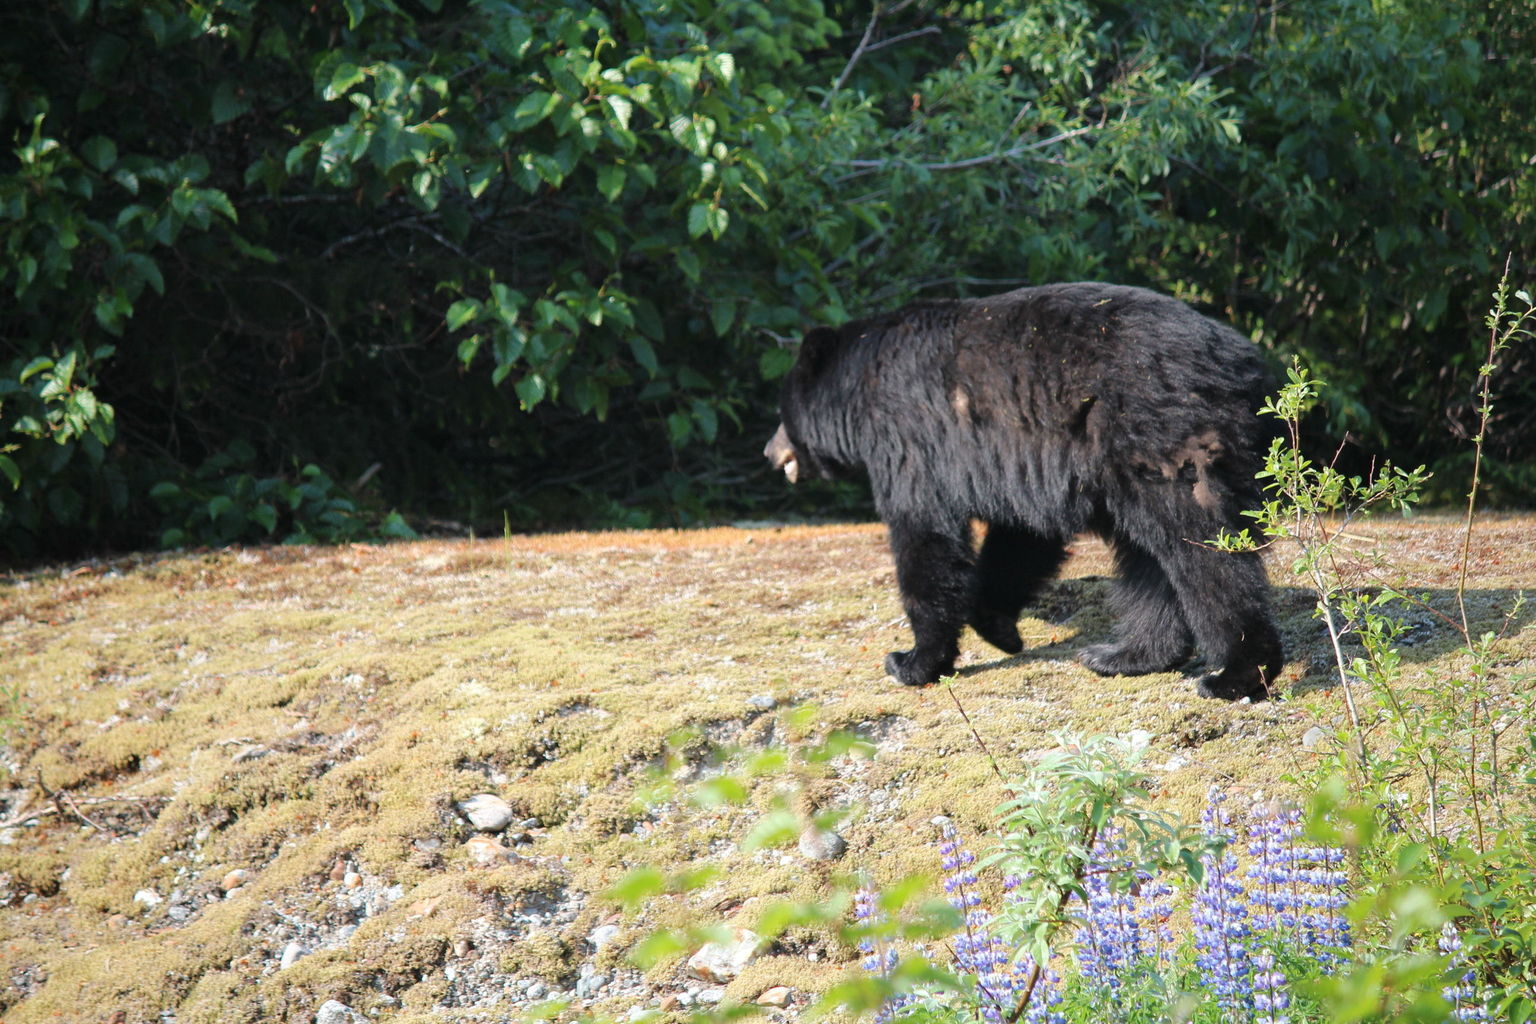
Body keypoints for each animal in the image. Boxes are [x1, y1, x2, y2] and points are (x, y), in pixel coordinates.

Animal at [764, 281, 1284, 701]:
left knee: (1202, 551)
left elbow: (925, 535)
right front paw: (998, 626)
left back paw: (1235, 674)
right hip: (1125, 463)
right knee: (1149, 558)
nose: (769, 451)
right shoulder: (1025, 461)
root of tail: (1246, 367)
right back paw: (1123, 655)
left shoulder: (909, 436)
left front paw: (912, 661)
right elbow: (1021, 538)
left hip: (1158, 433)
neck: (859, 383)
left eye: (782, 412)